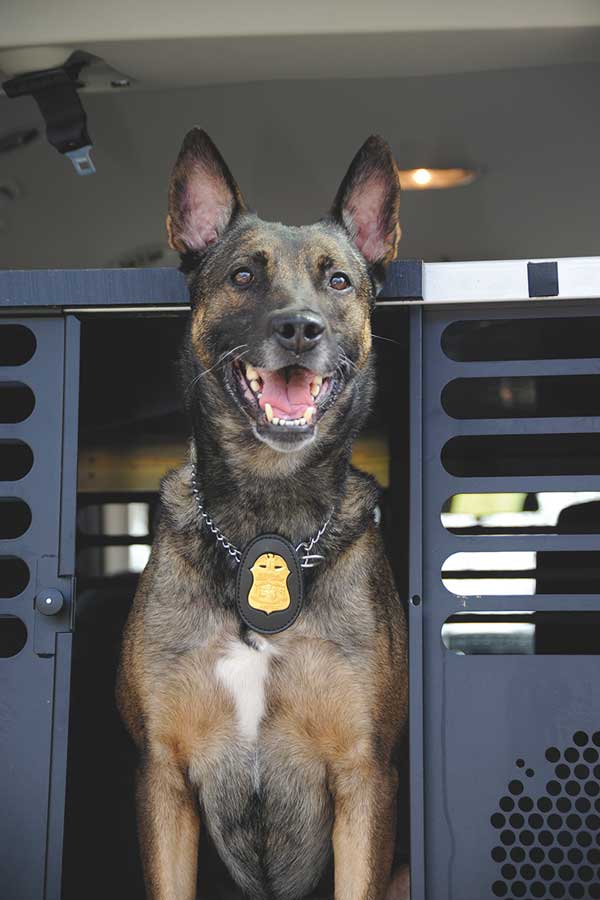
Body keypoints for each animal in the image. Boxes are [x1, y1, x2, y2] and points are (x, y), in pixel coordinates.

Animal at [117, 128, 408, 900]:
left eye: (338, 282)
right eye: (244, 276)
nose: (299, 328)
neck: (265, 514)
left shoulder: (365, 777)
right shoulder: (163, 778)